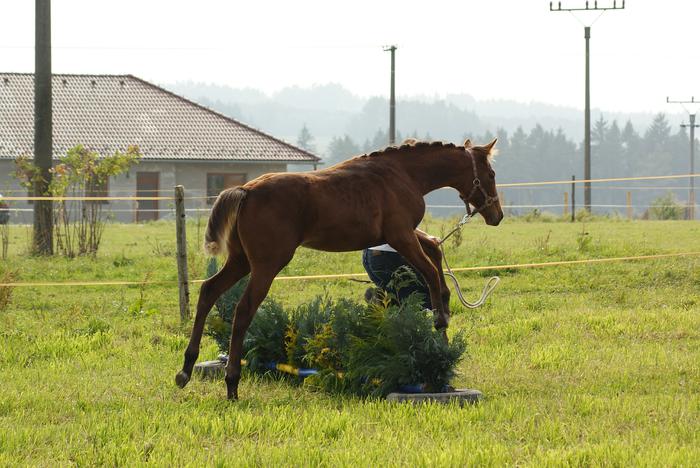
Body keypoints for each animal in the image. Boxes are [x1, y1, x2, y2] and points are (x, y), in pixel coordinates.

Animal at [178, 138, 500, 398]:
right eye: (491, 174)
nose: (497, 215)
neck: (403, 174)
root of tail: (246, 190)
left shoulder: (400, 235)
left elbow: (434, 249)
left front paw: (444, 307)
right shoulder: (400, 235)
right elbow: (431, 272)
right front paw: (440, 326)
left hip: (241, 261)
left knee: (208, 291)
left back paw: (186, 369)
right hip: (266, 265)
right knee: (243, 310)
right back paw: (232, 383)